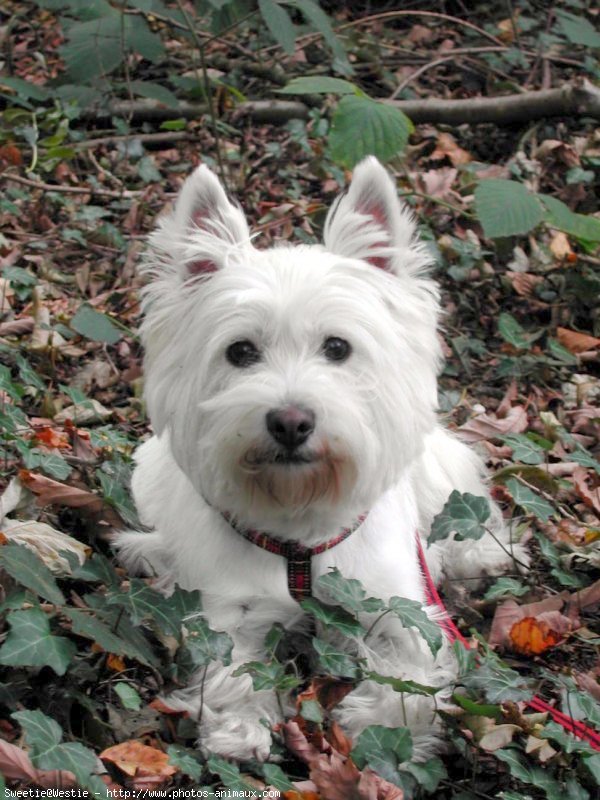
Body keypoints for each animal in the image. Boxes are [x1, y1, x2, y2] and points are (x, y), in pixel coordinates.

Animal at [115, 156, 524, 764]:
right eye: (240, 352)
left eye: (337, 348)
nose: (290, 422)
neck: (300, 535)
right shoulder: (226, 611)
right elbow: (232, 667)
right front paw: (240, 728)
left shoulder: (401, 608)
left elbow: (413, 676)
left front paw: (380, 728)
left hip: (438, 472)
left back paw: (481, 554)